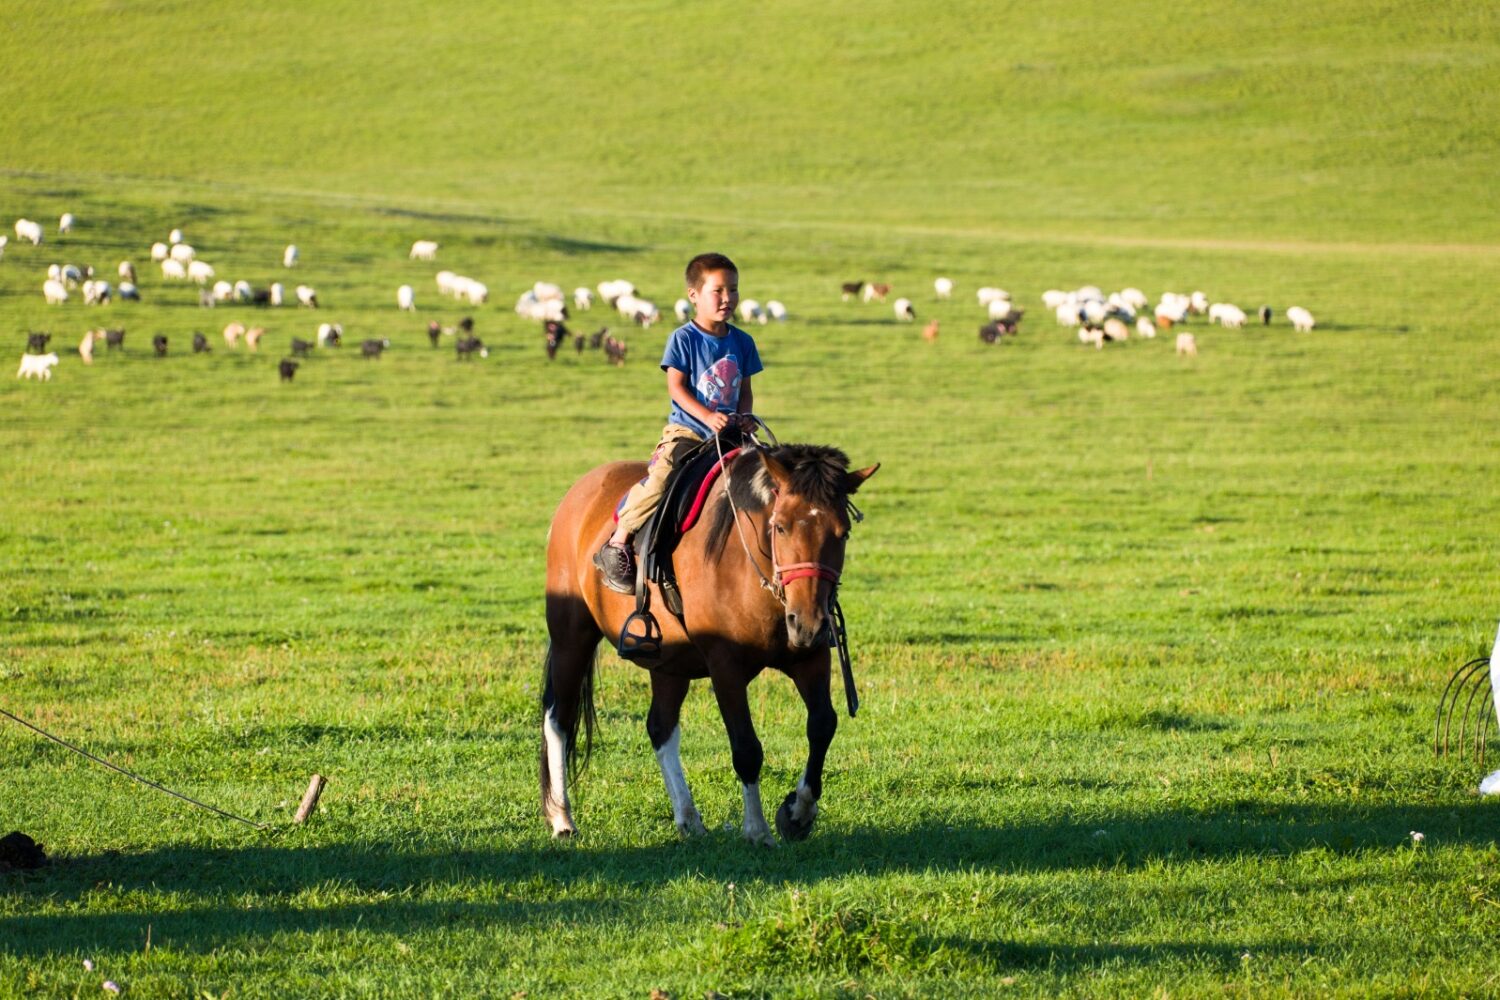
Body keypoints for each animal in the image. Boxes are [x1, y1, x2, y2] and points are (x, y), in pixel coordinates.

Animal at [541, 439, 878, 845]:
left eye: (842, 533)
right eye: (780, 527)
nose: (808, 621)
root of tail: (579, 492)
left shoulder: (809, 657)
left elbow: (822, 725)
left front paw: (797, 813)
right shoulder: (724, 666)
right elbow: (746, 747)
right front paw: (757, 829)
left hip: (668, 661)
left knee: (660, 727)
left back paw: (688, 818)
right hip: (570, 638)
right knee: (558, 719)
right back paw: (562, 819)